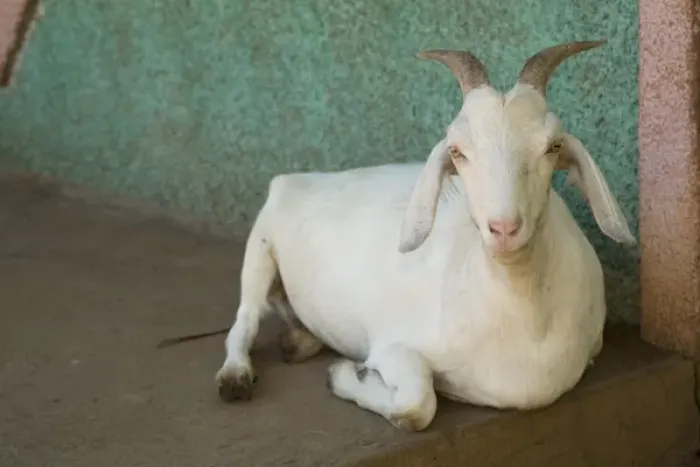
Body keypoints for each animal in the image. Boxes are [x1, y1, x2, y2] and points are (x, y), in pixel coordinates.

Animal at [214, 40, 636, 431]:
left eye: (553, 146)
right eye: (457, 150)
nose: (504, 228)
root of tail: (296, 179)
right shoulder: (391, 345)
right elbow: (416, 407)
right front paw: (346, 375)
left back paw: (298, 341)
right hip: (260, 247)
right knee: (245, 318)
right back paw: (235, 377)